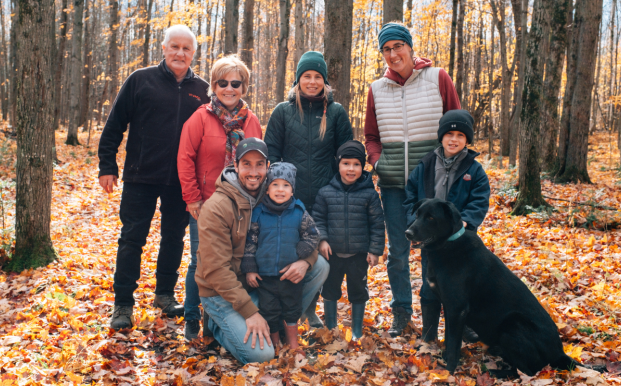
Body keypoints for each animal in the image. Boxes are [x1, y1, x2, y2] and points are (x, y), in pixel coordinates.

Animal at [406, 198, 588, 376]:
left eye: (431, 218)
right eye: (417, 214)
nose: (407, 233)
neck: (448, 244)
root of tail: (559, 353)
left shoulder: (457, 309)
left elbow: (453, 345)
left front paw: (448, 372)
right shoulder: (449, 306)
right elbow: (449, 337)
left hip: (513, 324)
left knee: (528, 372)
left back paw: (494, 372)